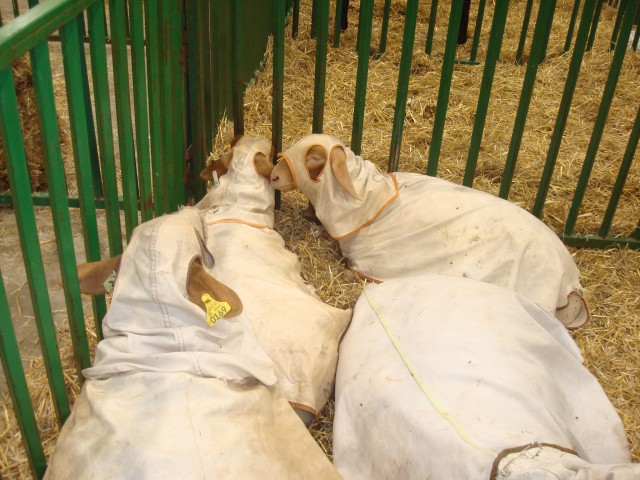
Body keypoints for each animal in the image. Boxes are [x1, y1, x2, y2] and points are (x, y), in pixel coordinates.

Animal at [270, 133, 588, 329]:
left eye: (312, 159)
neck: (370, 199)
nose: (272, 175)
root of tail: (571, 281)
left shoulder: (369, 265)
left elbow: (350, 271)